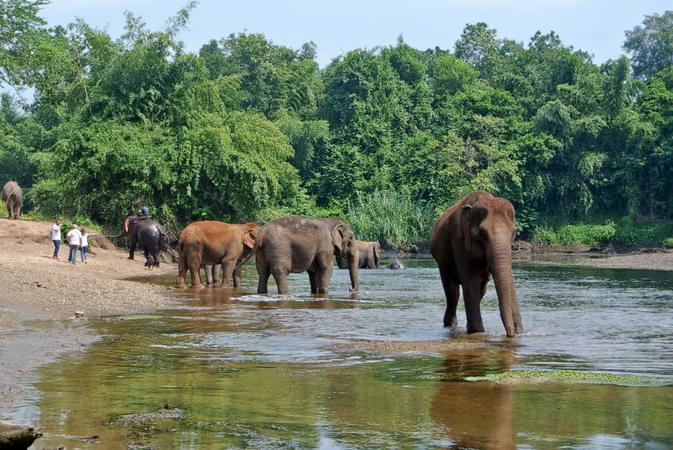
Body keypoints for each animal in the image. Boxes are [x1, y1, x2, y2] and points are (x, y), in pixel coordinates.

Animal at [429, 190, 523, 337]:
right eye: (482, 234)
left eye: (513, 233)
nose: (511, 334)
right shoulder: (458, 240)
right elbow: (470, 280)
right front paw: (477, 331)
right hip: (442, 261)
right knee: (452, 292)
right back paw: (450, 325)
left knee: (480, 289)